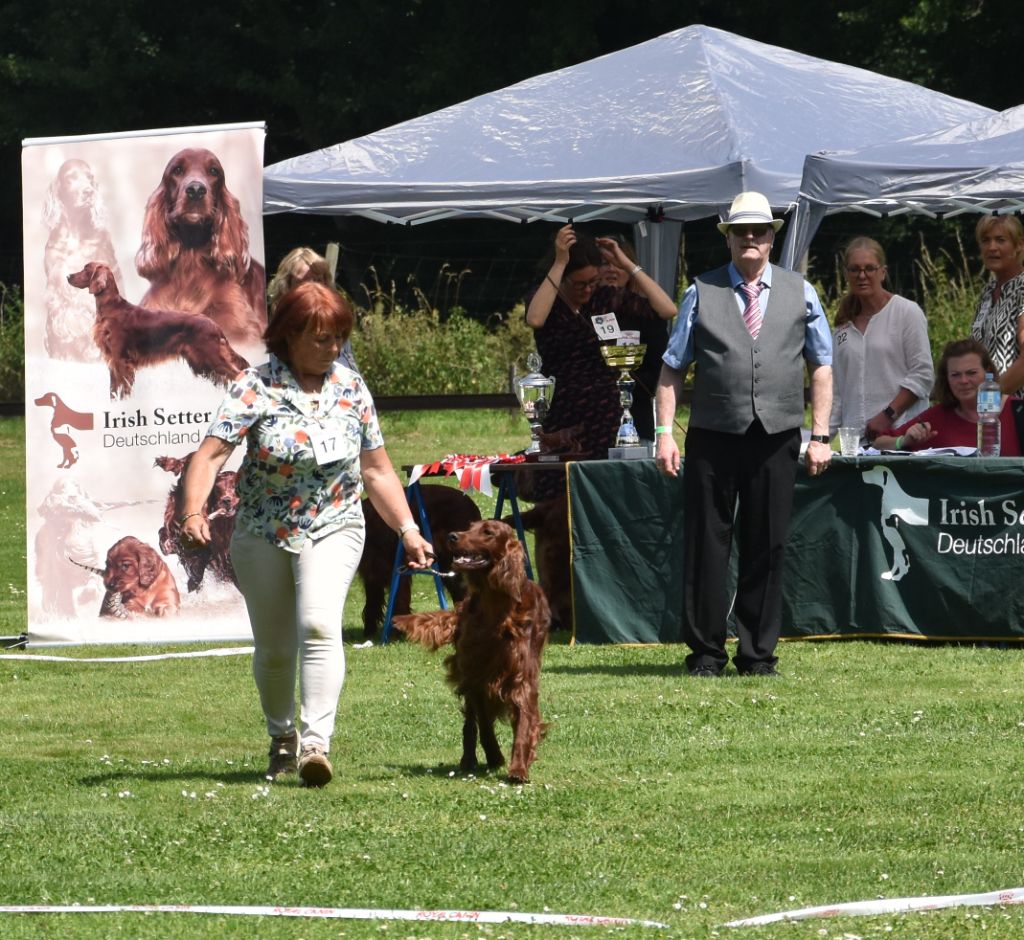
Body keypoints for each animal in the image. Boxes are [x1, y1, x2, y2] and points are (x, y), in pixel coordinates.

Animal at [67, 261, 248, 401]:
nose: (68, 276)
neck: (112, 308)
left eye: (86, 268)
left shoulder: (121, 359)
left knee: (237, 374)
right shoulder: (113, 360)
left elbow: (123, 390)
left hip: (212, 356)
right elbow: (113, 391)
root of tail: (215, 325)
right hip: (201, 362)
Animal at [358, 481, 481, 643]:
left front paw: (397, 633)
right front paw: (369, 632)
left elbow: (398, 600)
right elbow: (372, 604)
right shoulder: (371, 573)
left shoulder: (397, 571)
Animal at [391, 518, 552, 782]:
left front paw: (519, 767)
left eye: (488, 532)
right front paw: (495, 756)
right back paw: (469, 759)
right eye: (470, 527)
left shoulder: (520, 677)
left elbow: (524, 722)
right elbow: (483, 723)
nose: (452, 536)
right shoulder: (475, 675)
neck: (496, 610)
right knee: (470, 723)